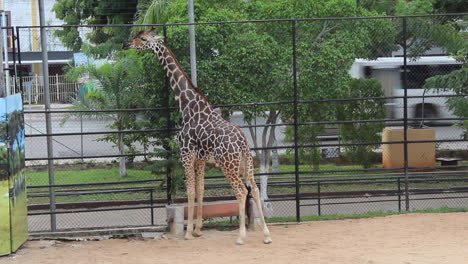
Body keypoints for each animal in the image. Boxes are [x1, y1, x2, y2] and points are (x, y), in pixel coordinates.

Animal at [124, 27, 270, 244]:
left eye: (142, 38)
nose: (126, 44)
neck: (188, 106)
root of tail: (243, 142)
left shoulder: (185, 154)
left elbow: (191, 190)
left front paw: (187, 233)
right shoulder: (200, 159)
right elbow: (201, 190)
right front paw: (198, 229)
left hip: (228, 165)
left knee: (242, 191)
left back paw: (241, 236)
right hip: (246, 163)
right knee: (256, 189)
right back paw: (267, 235)